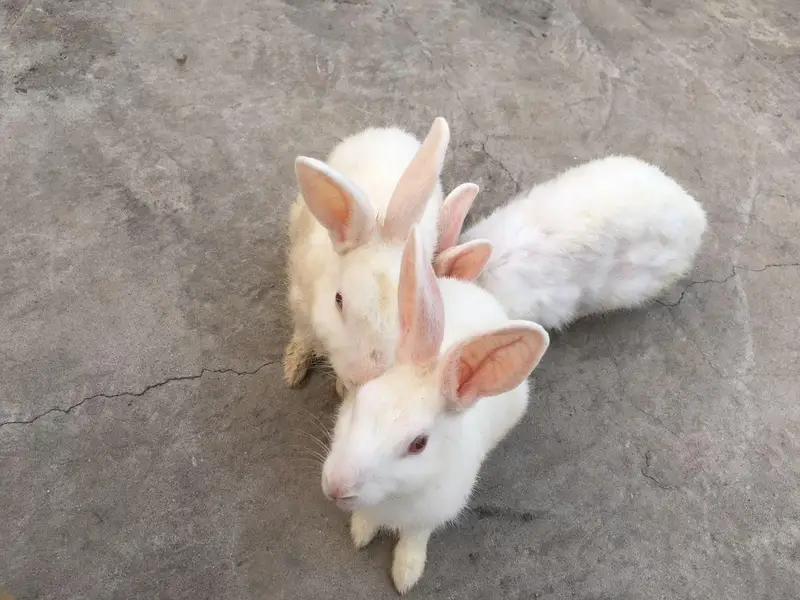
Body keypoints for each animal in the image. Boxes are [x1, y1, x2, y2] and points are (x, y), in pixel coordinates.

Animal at [284, 117, 451, 395]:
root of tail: (388, 131)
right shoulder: (299, 301)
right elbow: (302, 335)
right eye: (338, 300)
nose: (364, 377)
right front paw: (292, 369)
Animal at [321, 226, 550, 594]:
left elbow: (415, 537)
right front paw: (361, 531)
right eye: (362, 400)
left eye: (419, 444)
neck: (394, 497)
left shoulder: (431, 513)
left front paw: (406, 573)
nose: (337, 487)